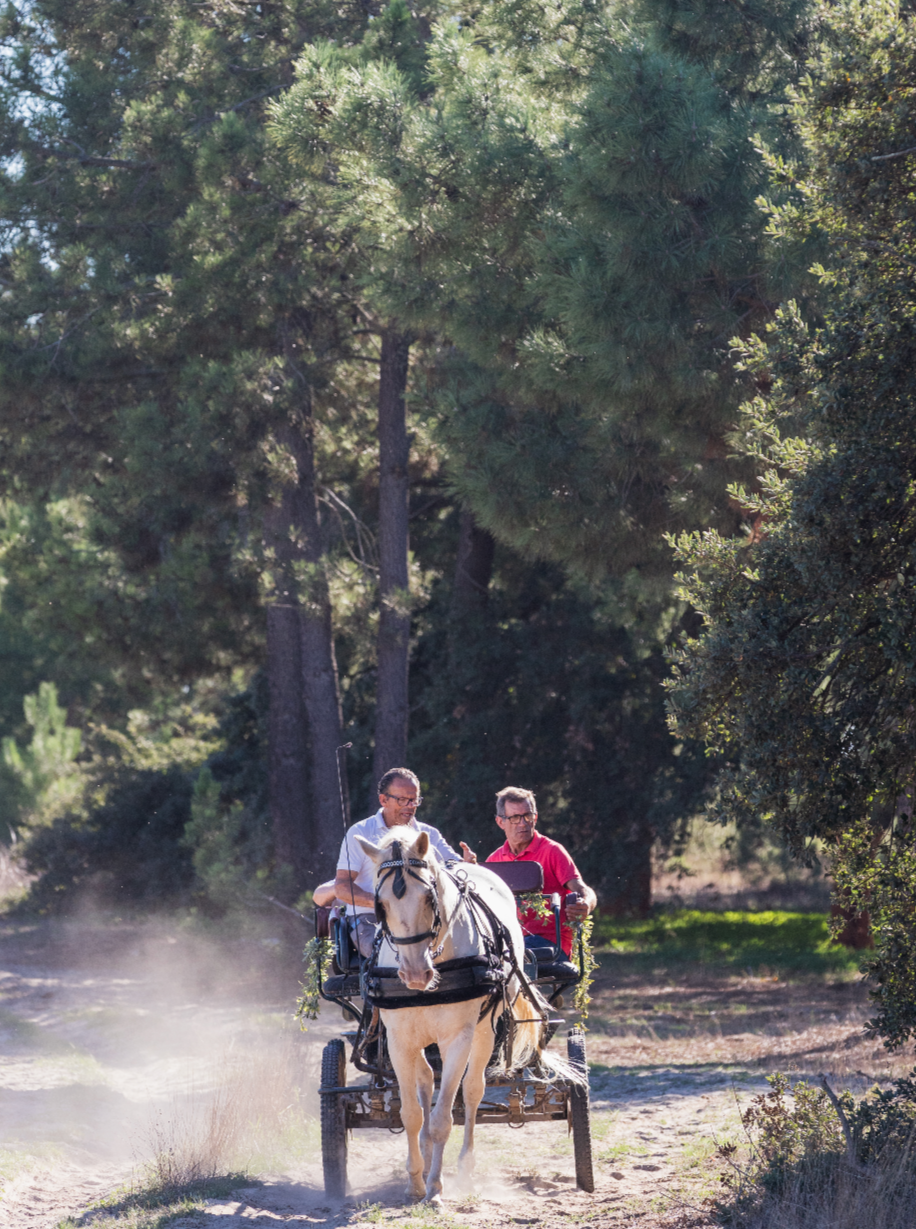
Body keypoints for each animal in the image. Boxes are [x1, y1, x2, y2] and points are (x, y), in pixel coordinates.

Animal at [354, 820, 545, 1204]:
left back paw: (464, 1168)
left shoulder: (457, 1038)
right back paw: (428, 1157)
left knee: (472, 1090)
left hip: (485, 1030)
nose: (415, 974)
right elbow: (412, 1113)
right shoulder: (399, 1040)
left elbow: (444, 1117)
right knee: (428, 1081)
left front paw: (436, 1189)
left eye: (429, 898)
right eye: (380, 906)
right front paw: (415, 1181)